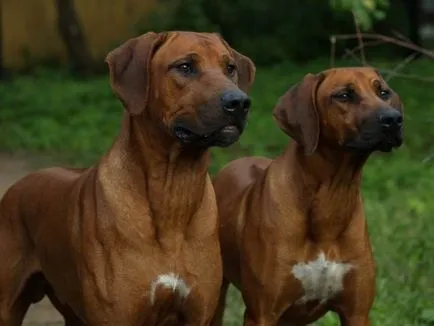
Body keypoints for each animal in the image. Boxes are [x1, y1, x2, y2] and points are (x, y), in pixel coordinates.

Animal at [0, 31, 254, 326]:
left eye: (230, 68)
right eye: (185, 67)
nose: (239, 102)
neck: (174, 189)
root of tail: (17, 186)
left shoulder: (198, 313)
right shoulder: (116, 315)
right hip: (7, 306)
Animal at [210, 67, 404, 326]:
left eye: (383, 92)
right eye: (344, 95)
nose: (393, 119)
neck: (333, 195)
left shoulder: (357, 313)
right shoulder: (261, 313)